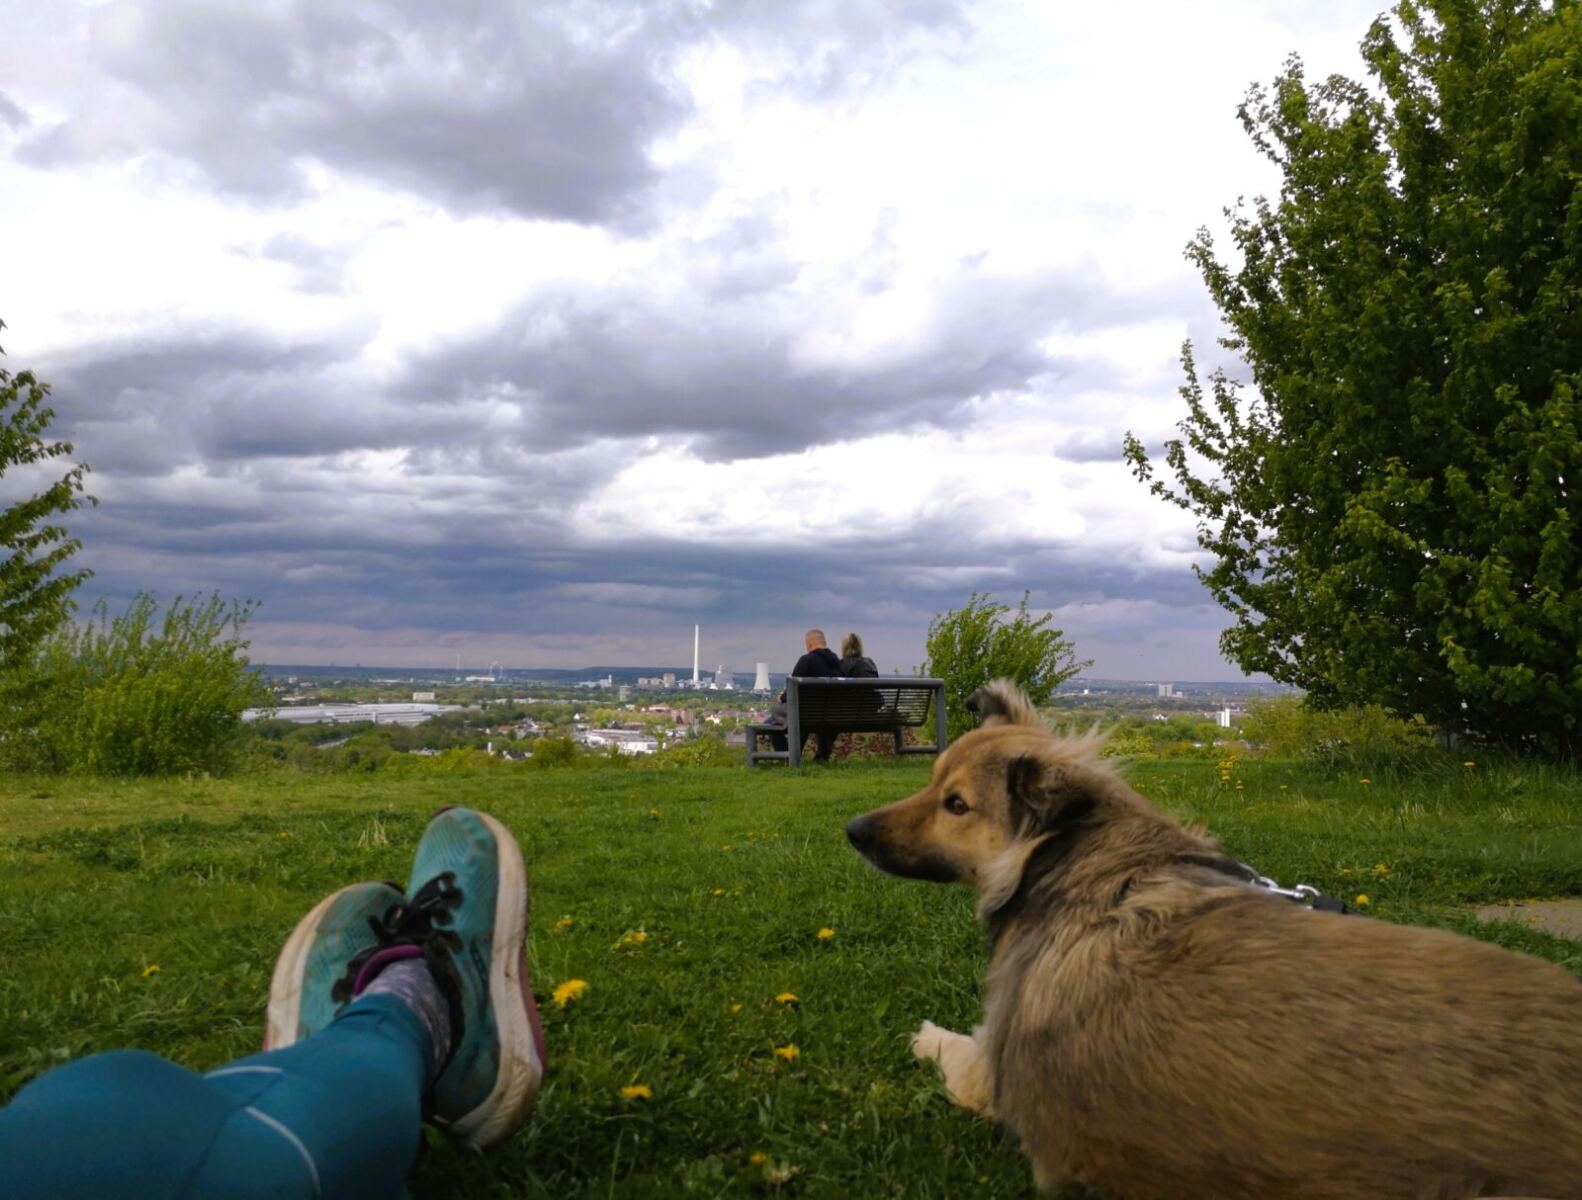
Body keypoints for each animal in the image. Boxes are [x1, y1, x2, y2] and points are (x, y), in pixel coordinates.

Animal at [845, 681, 1582, 1199]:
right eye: (930, 781)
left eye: (956, 806)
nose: (852, 829)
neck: (1085, 865)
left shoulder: (994, 1074)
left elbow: (949, 1045)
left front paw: (925, 1034)